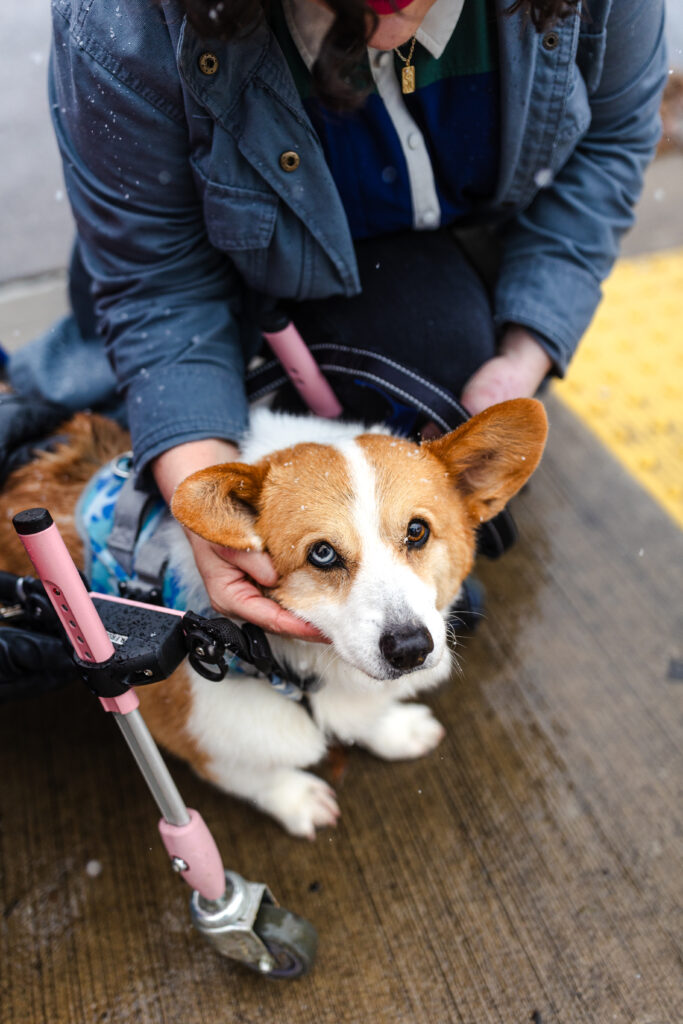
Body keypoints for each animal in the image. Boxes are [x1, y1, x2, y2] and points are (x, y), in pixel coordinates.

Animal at [0, 399, 544, 839]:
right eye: (322, 553)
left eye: (417, 531)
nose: (411, 649)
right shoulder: (186, 720)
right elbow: (249, 771)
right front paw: (299, 798)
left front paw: (396, 729)